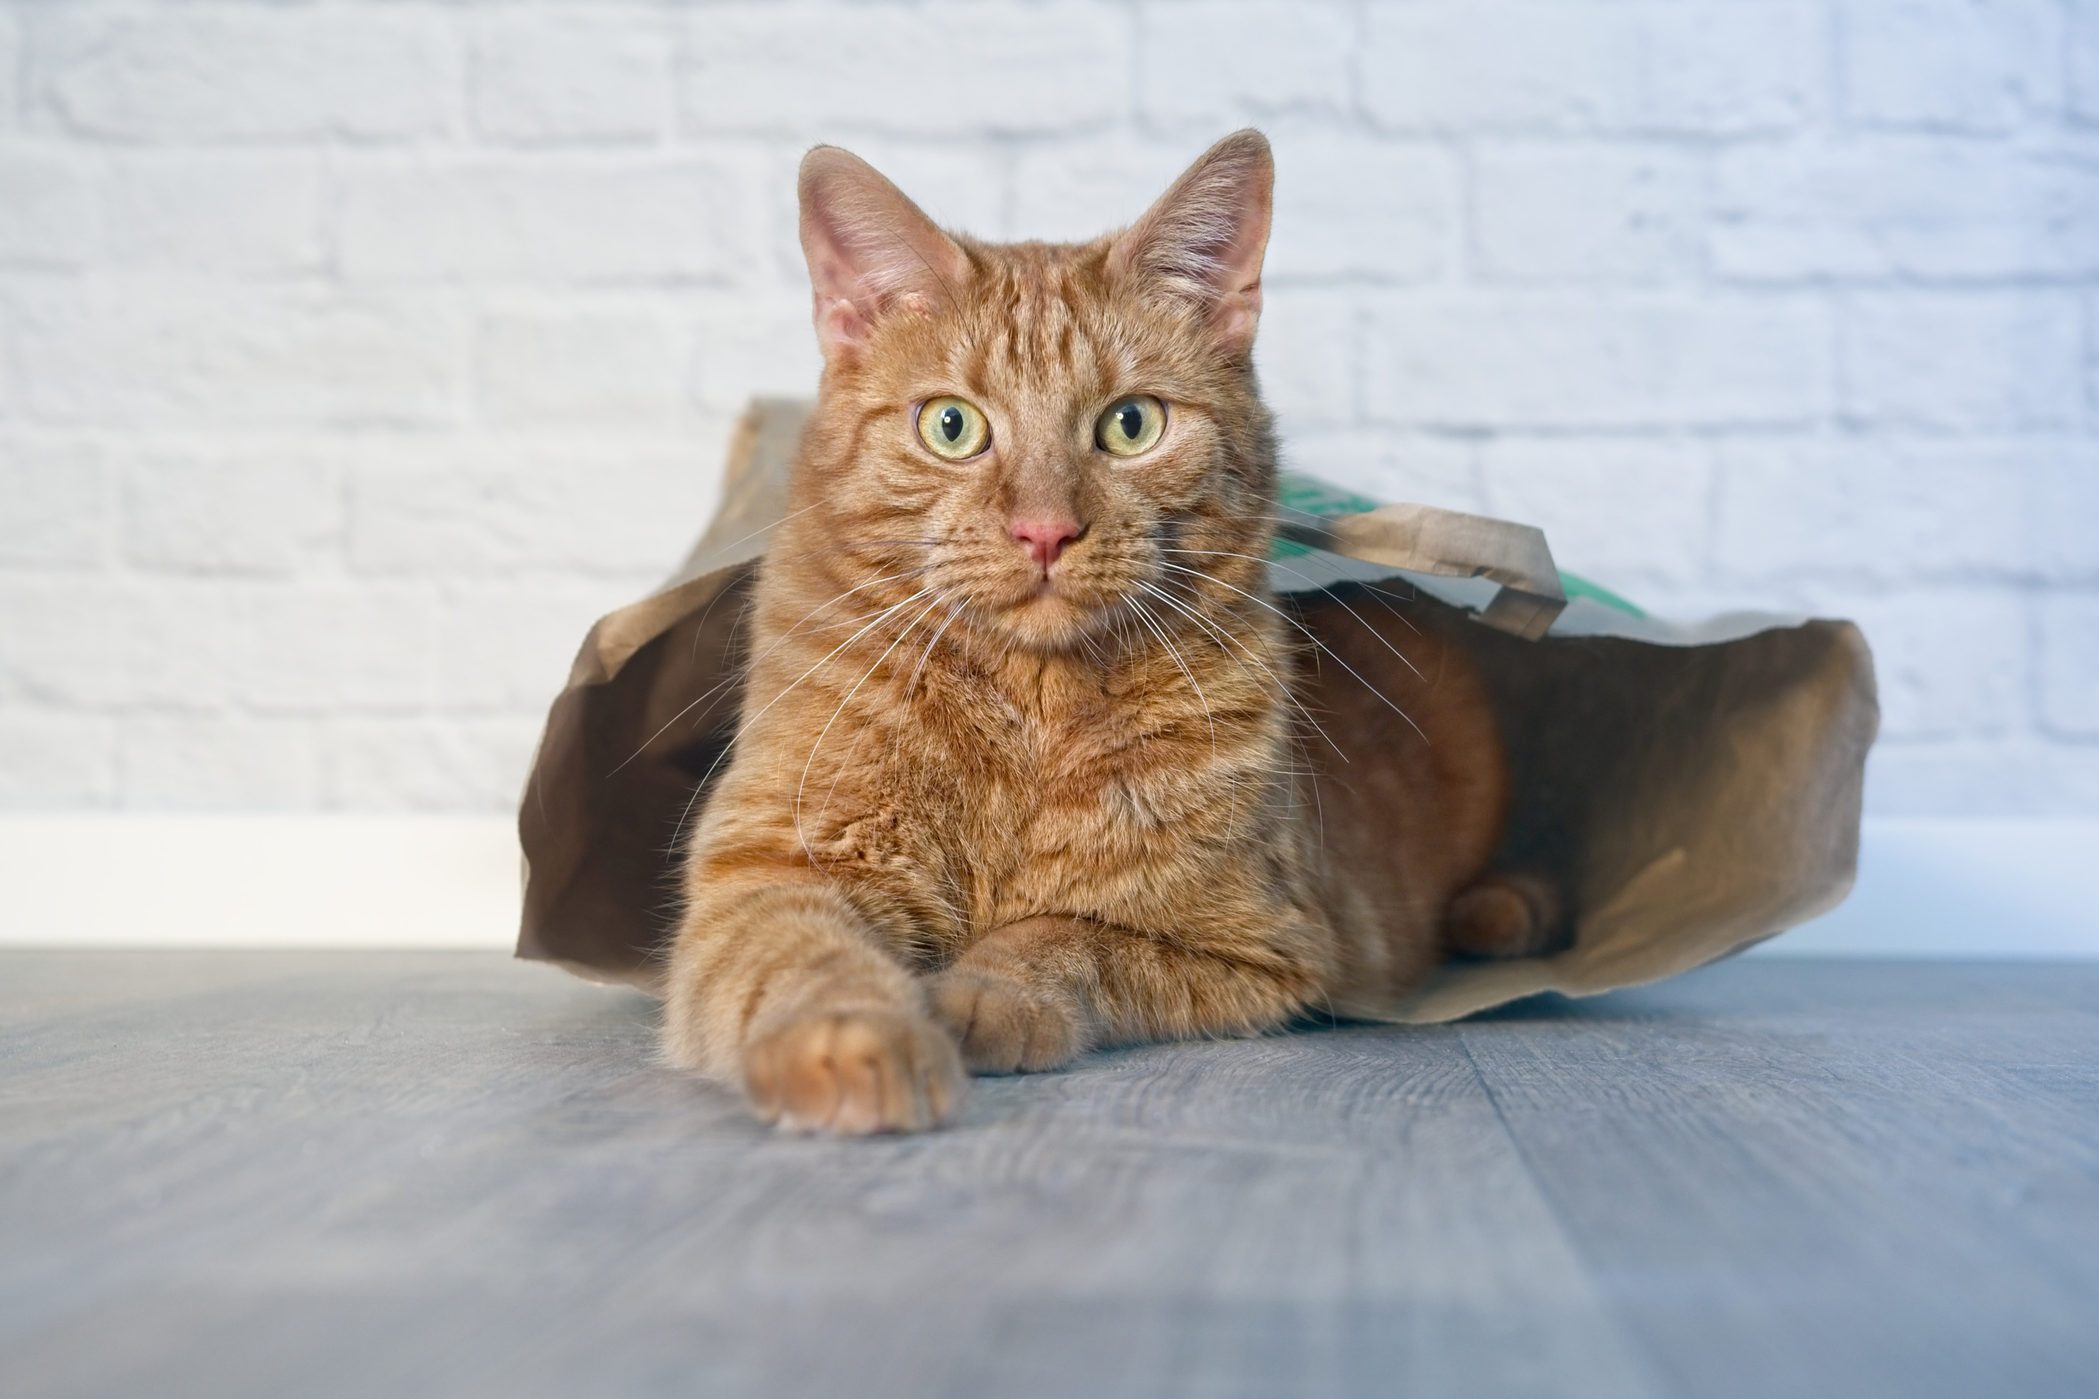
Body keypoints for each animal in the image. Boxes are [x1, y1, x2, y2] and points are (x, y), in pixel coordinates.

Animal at [663, 131, 1553, 1132]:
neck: (1028, 707)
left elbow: (1061, 935)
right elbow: (804, 954)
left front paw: (978, 994)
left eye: (1130, 425)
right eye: (951, 425)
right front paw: (860, 1044)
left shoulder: (1253, 947)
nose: (1045, 530)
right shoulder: (770, 869)